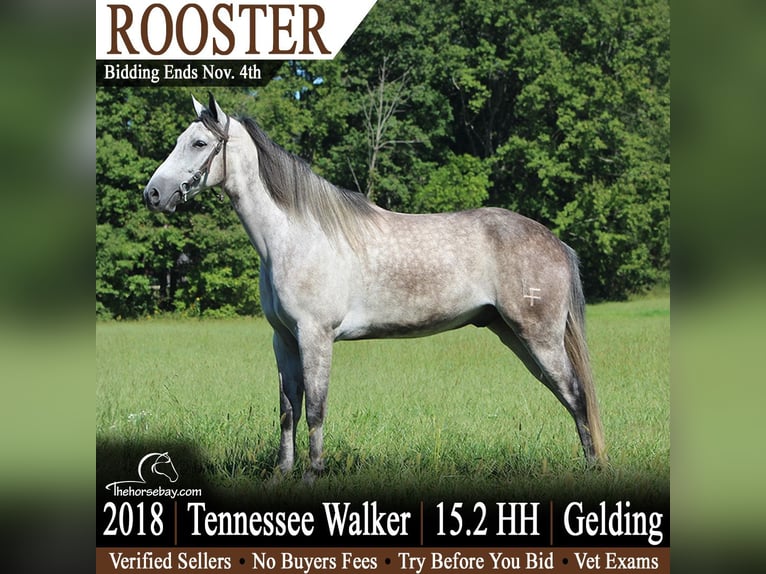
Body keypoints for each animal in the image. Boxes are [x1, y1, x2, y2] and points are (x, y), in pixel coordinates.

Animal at [143, 93, 607, 478]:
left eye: (198, 144)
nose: (152, 194)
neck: (294, 235)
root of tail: (555, 242)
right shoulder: (284, 340)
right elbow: (288, 410)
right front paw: (282, 474)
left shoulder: (315, 336)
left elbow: (315, 408)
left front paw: (313, 475)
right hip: (513, 335)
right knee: (570, 395)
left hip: (538, 338)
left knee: (576, 395)